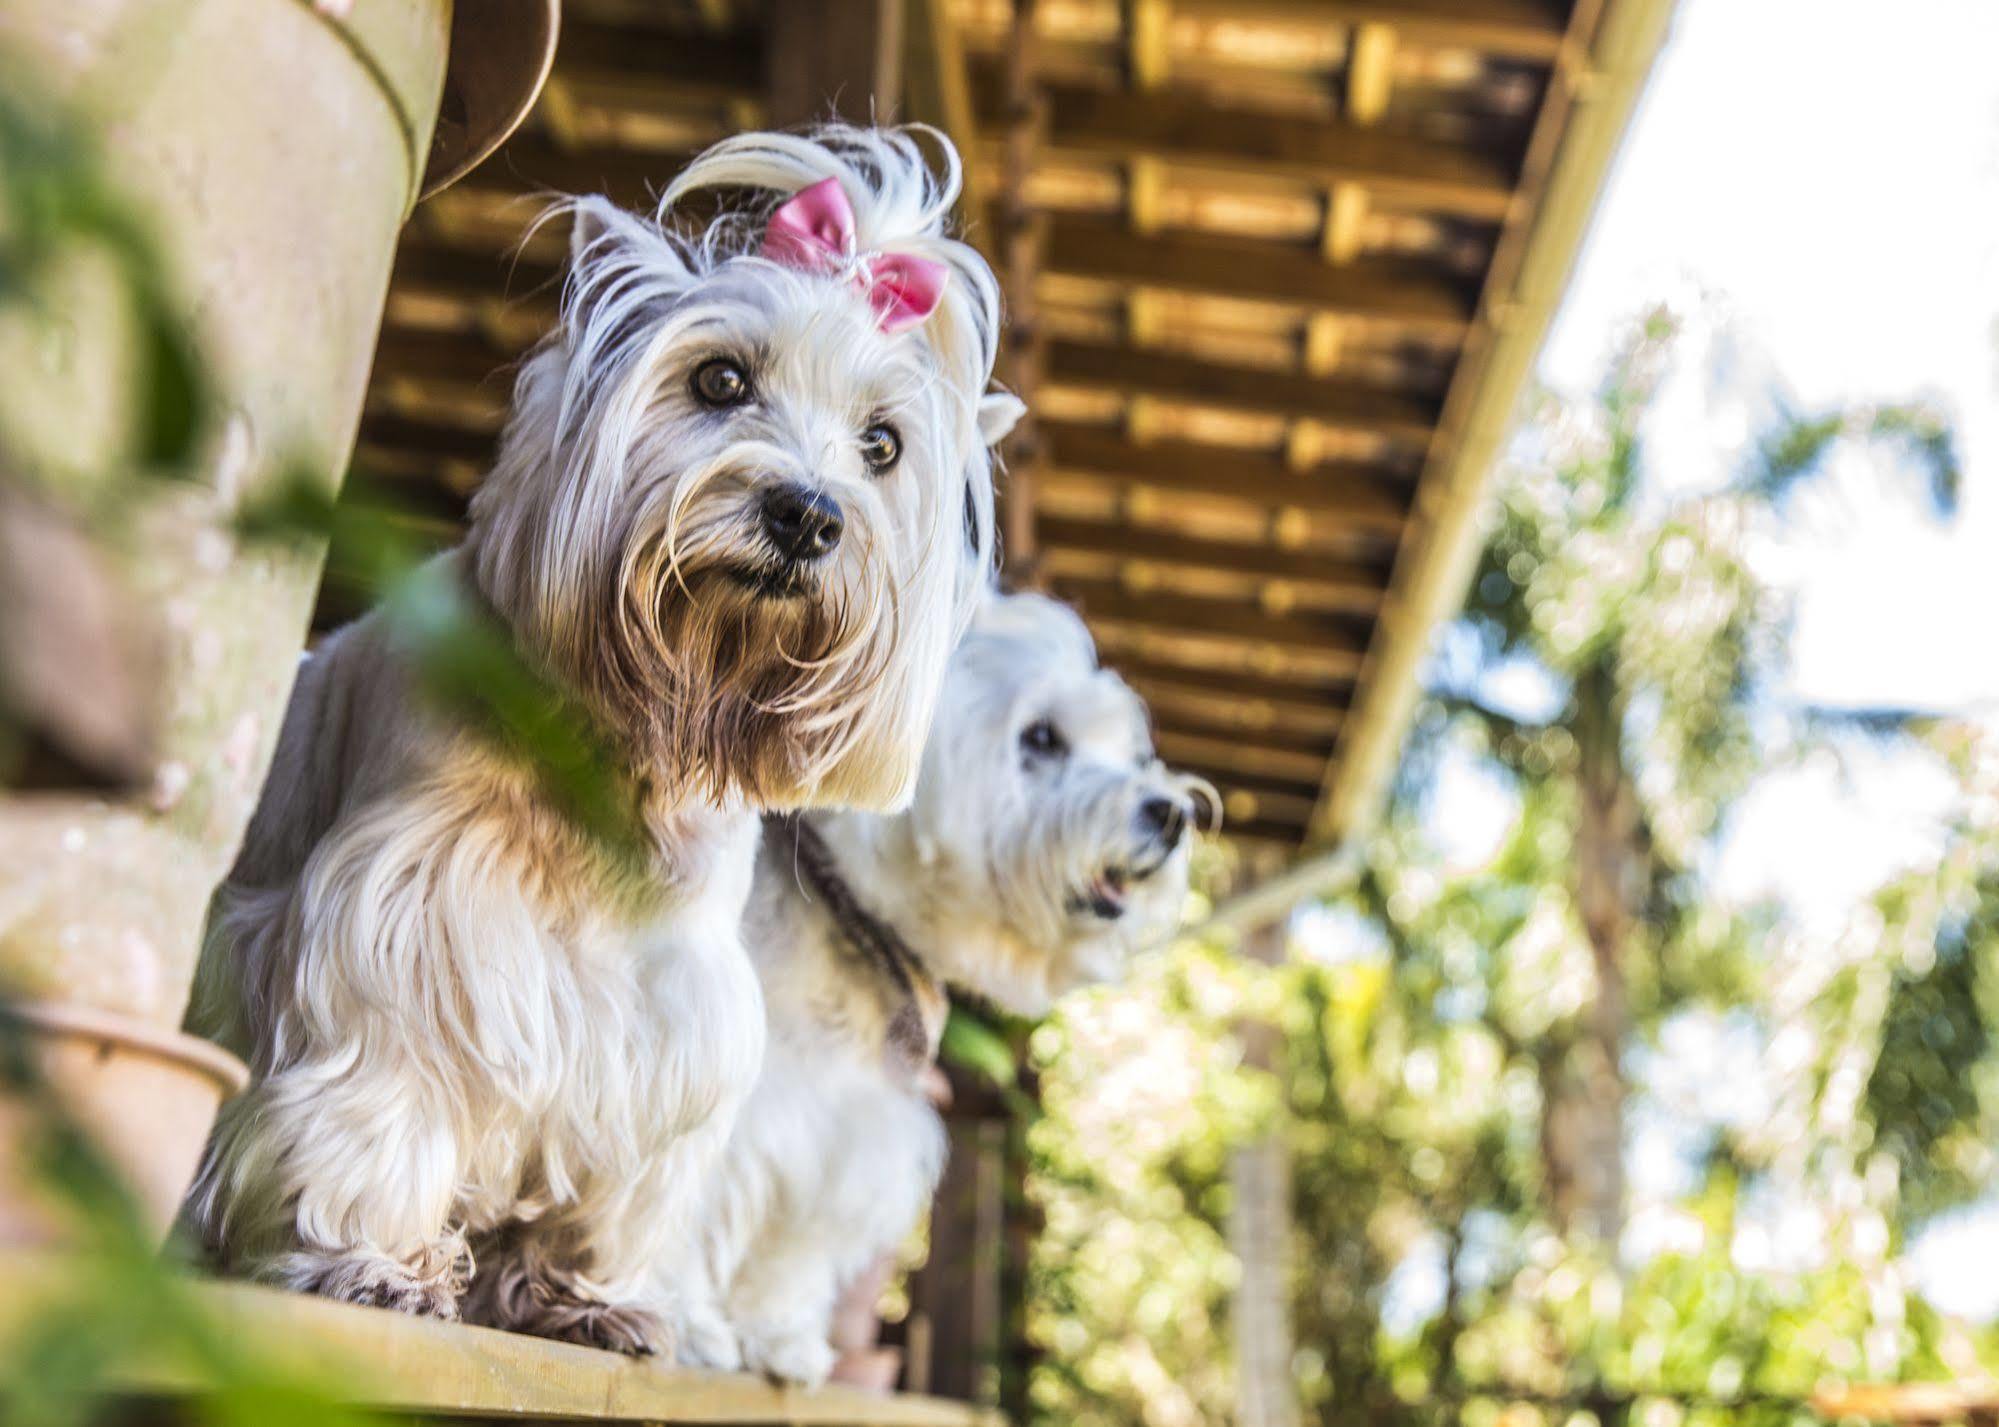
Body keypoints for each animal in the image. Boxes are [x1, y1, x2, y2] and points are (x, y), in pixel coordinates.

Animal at [185, 124, 1015, 1343]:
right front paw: (372, 1264)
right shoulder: (399, 920)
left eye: (881, 444)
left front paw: (589, 1299)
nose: (807, 514)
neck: (627, 746)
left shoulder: (678, 1013)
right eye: (720, 378)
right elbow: (382, 1091)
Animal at [663, 587, 1207, 1375]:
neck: (854, 920)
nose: (1170, 812)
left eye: (1131, 755)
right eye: (1041, 737)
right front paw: (687, 1326)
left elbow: (796, 1243)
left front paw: (781, 1339)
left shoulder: (844, 1128)